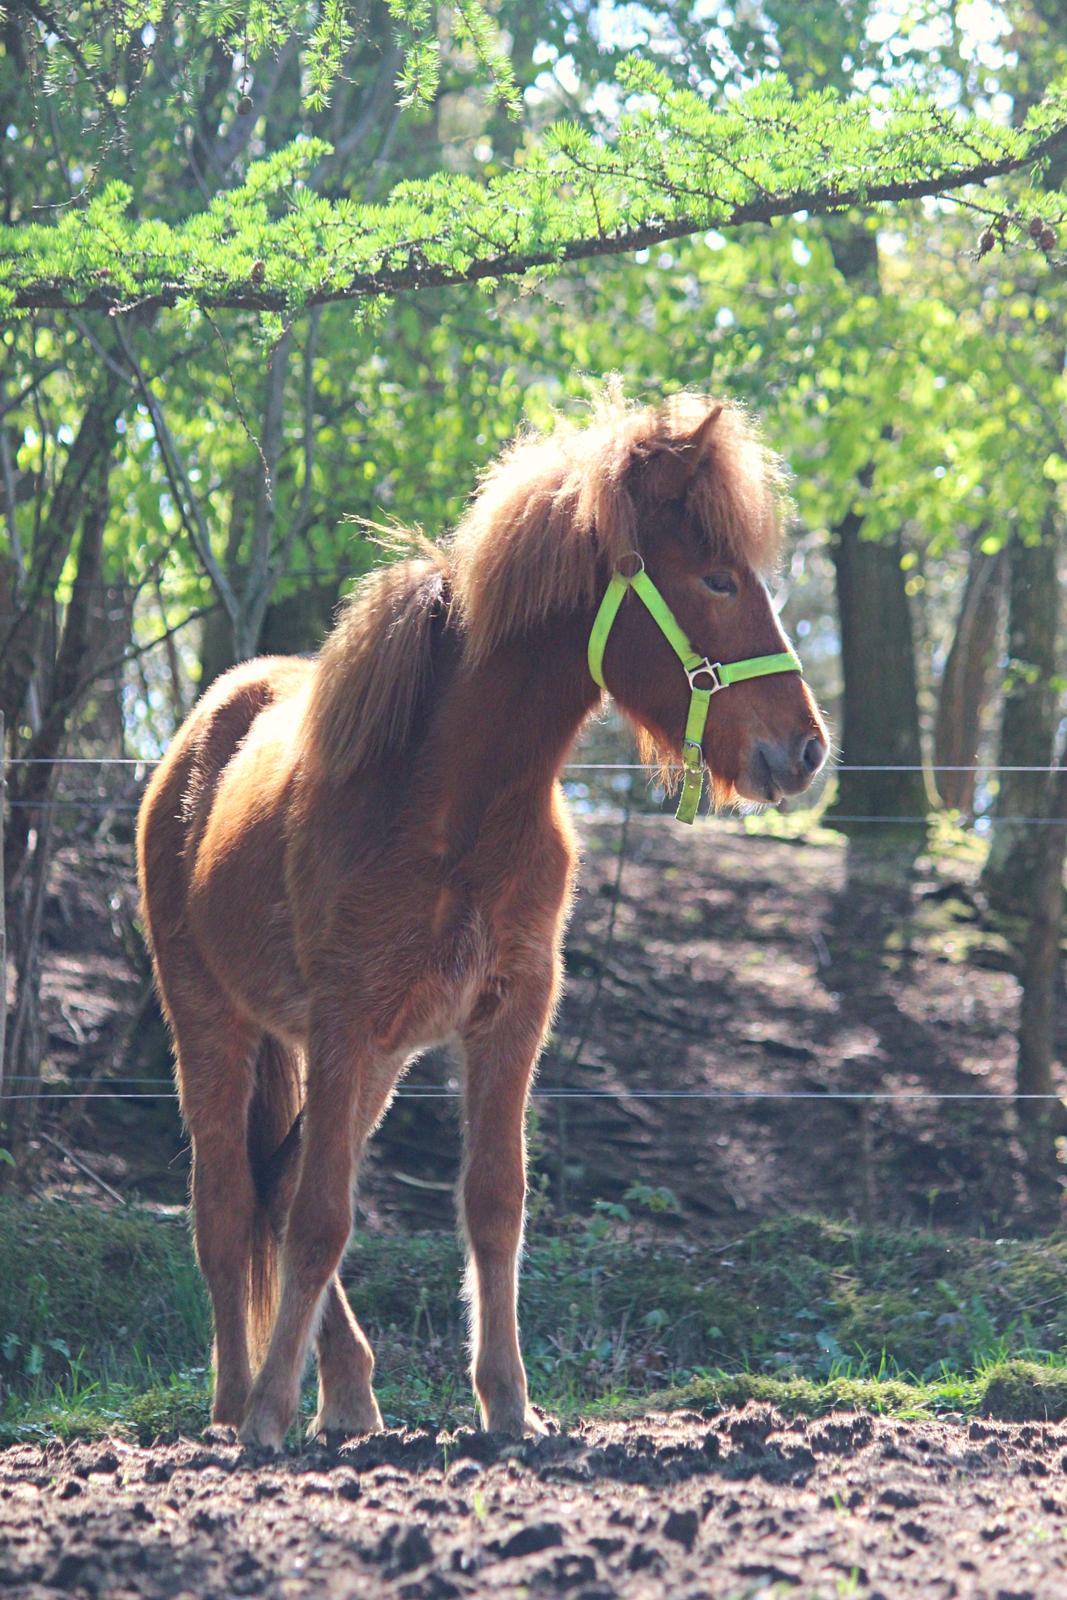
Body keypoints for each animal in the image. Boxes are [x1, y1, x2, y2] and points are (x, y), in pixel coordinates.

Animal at [137, 393, 831, 1446]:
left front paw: (507, 1404)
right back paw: (236, 1406)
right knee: (228, 1207)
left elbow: (490, 1202)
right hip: (213, 1024)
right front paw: (269, 1412)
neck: (454, 804)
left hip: (377, 1058)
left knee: (282, 1184)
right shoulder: (343, 1018)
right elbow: (322, 1219)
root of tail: (201, 729)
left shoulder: (510, 1012)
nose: (804, 750)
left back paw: (347, 1397)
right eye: (717, 577)